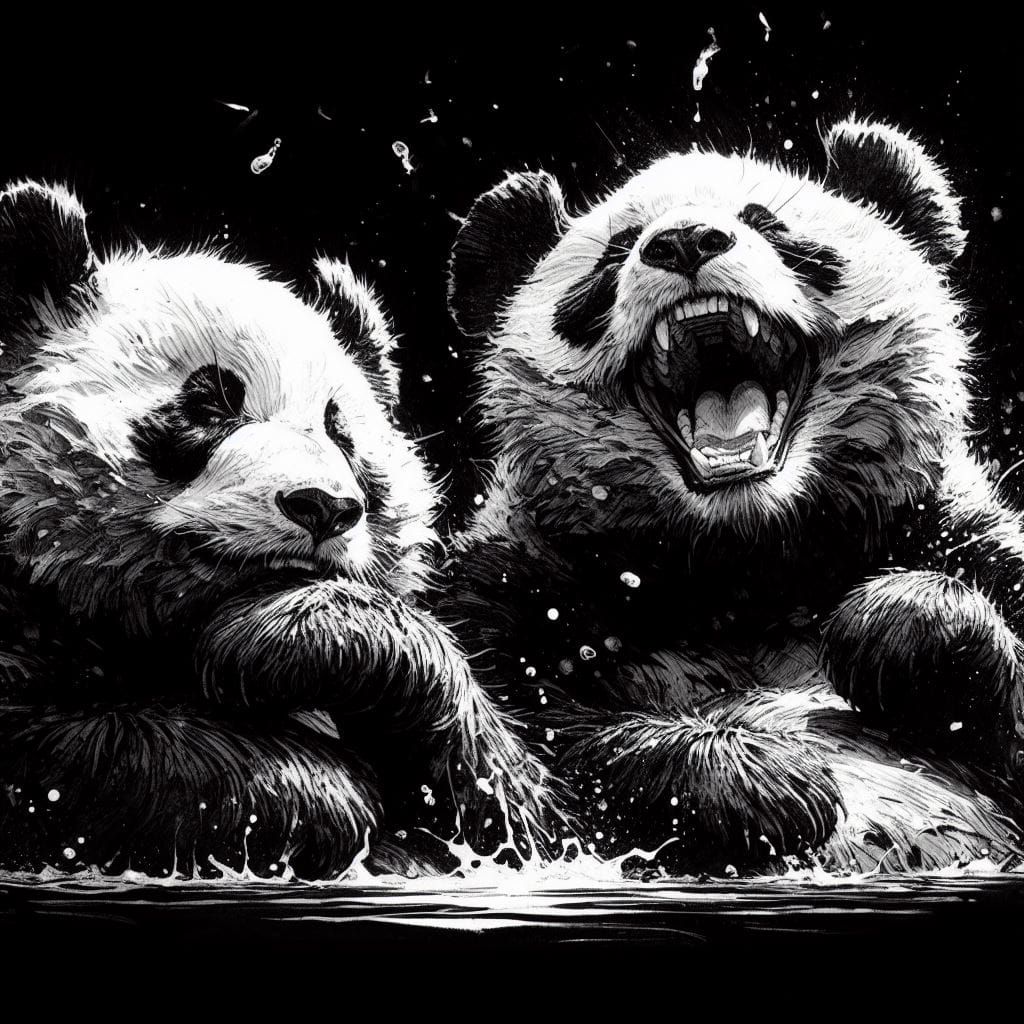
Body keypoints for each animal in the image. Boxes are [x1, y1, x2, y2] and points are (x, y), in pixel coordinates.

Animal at [0, 180, 550, 878]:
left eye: (340, 429)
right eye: (208, 404)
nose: (323, 506)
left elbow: (510, 819)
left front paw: (285, 634)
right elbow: (77, 755)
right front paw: (314, 790)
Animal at [443, 119, 1024, 874]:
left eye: (767, 222)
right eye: (614, 254)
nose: (686, 241)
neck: (746, 558)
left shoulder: (945, 527)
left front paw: (894, 623)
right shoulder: (523, 575)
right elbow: (531, 739)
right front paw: (767, 778)